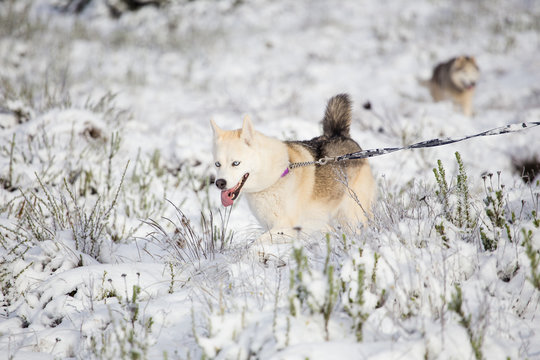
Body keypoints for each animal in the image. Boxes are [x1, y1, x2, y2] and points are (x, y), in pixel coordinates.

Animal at [211, 93, 376, 256]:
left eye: (236, 163)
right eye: (217, 164)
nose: (219, 183)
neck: (275, 177)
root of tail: (339, 135)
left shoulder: (288, 228)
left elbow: (256, 242)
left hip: (352, 216)